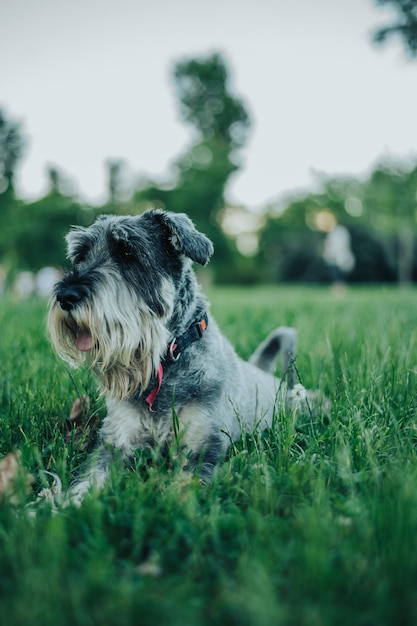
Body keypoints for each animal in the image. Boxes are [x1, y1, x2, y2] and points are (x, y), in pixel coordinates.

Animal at [47, 208, 310, 502]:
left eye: (127, 253)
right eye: (80, 255)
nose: (66, 295)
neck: (166, 361)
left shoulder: (201, 447)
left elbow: (183, 490)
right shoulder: (115, 442)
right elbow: (88, 481)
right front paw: (59, 506)